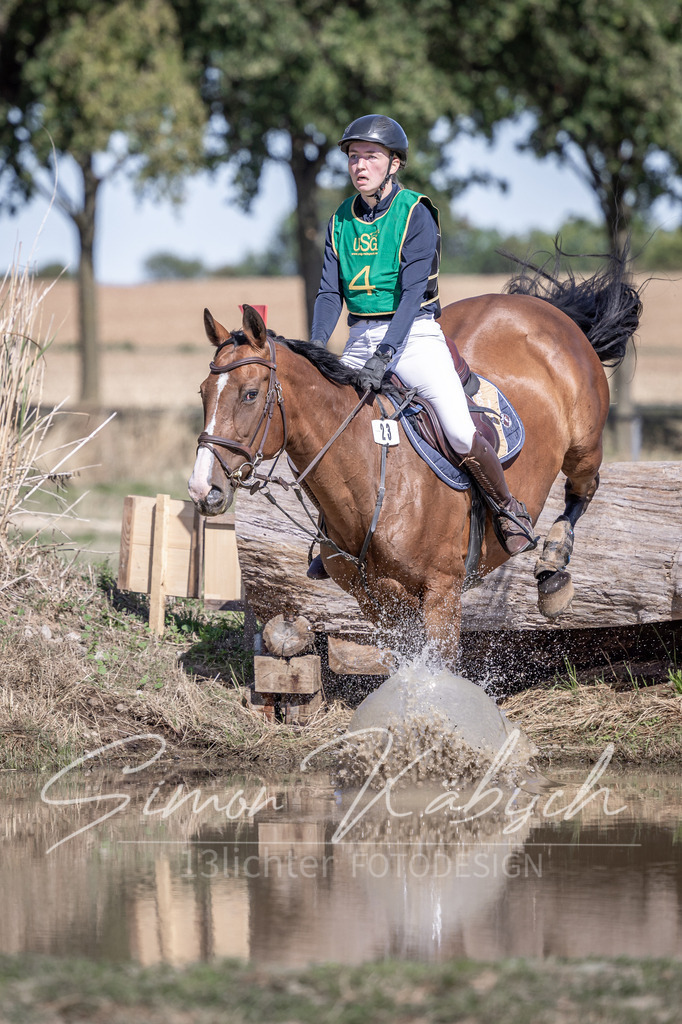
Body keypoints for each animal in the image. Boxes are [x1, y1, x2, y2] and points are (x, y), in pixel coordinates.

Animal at [188, 255, 642, 667]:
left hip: (583, 447)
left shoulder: (441, 594)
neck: (369, 480)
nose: (201, 488)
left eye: (250, 394)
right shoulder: (379, 604)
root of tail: (544, 308)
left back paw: (551, 566)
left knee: (582, 489)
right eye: (203, 392)